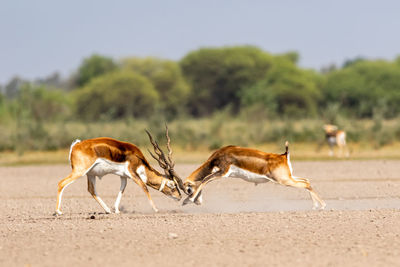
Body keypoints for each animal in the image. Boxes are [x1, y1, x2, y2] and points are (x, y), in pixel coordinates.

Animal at [54, 126, 186, 217]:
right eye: (173, 185)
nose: (179, 196)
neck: (137, 158)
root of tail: (75, 145)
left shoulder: (124, 176)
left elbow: (122, 190)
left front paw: (116, 210)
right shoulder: (133, 174)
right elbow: (145, 188)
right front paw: (156, 209)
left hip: (90, 174)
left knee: (91, 190)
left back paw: (108, 210)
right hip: (80, 171)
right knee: (61, 183)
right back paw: (58, 212)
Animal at [183, 142, 326, 211]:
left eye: (187, 190)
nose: (197, 202)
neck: (219, 155)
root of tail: (284, 155)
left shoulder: (222, 173)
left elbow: (204, 180)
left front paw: (188, 201)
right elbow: (204, 181)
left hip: (284, 180)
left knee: (305, 183)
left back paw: (322, 206)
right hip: (289, 177)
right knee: (306, 181)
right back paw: (315, 206)